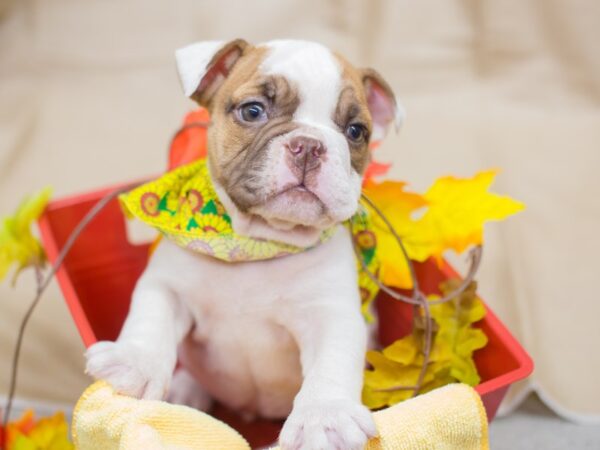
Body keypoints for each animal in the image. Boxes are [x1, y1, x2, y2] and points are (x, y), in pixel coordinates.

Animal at [85, 39, 404, 450]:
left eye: (356, 131)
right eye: (253, 111)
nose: (309, 145)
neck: (258, 242)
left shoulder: (331, 315)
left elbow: (331, 363)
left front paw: (325, 417)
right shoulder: (168, 286)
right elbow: (150, 320)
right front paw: (133, 363)